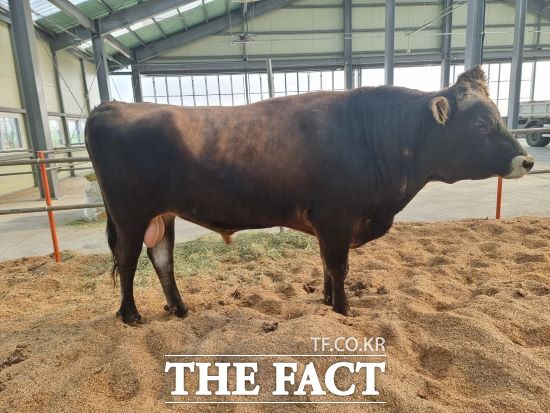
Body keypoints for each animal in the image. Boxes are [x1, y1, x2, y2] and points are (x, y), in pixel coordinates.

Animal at [86, 66, 536, 324]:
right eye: (479, 123)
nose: (527, 160)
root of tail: (114, 105)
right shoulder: (336, 218)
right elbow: (339, 266)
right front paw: (344, 310)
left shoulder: (327, 223)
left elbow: (325, 265)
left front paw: (325, 301)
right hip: (130, 214)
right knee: (127, 261)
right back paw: (131, 315)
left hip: (162, 215)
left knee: (161, 259)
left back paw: (179, 310)